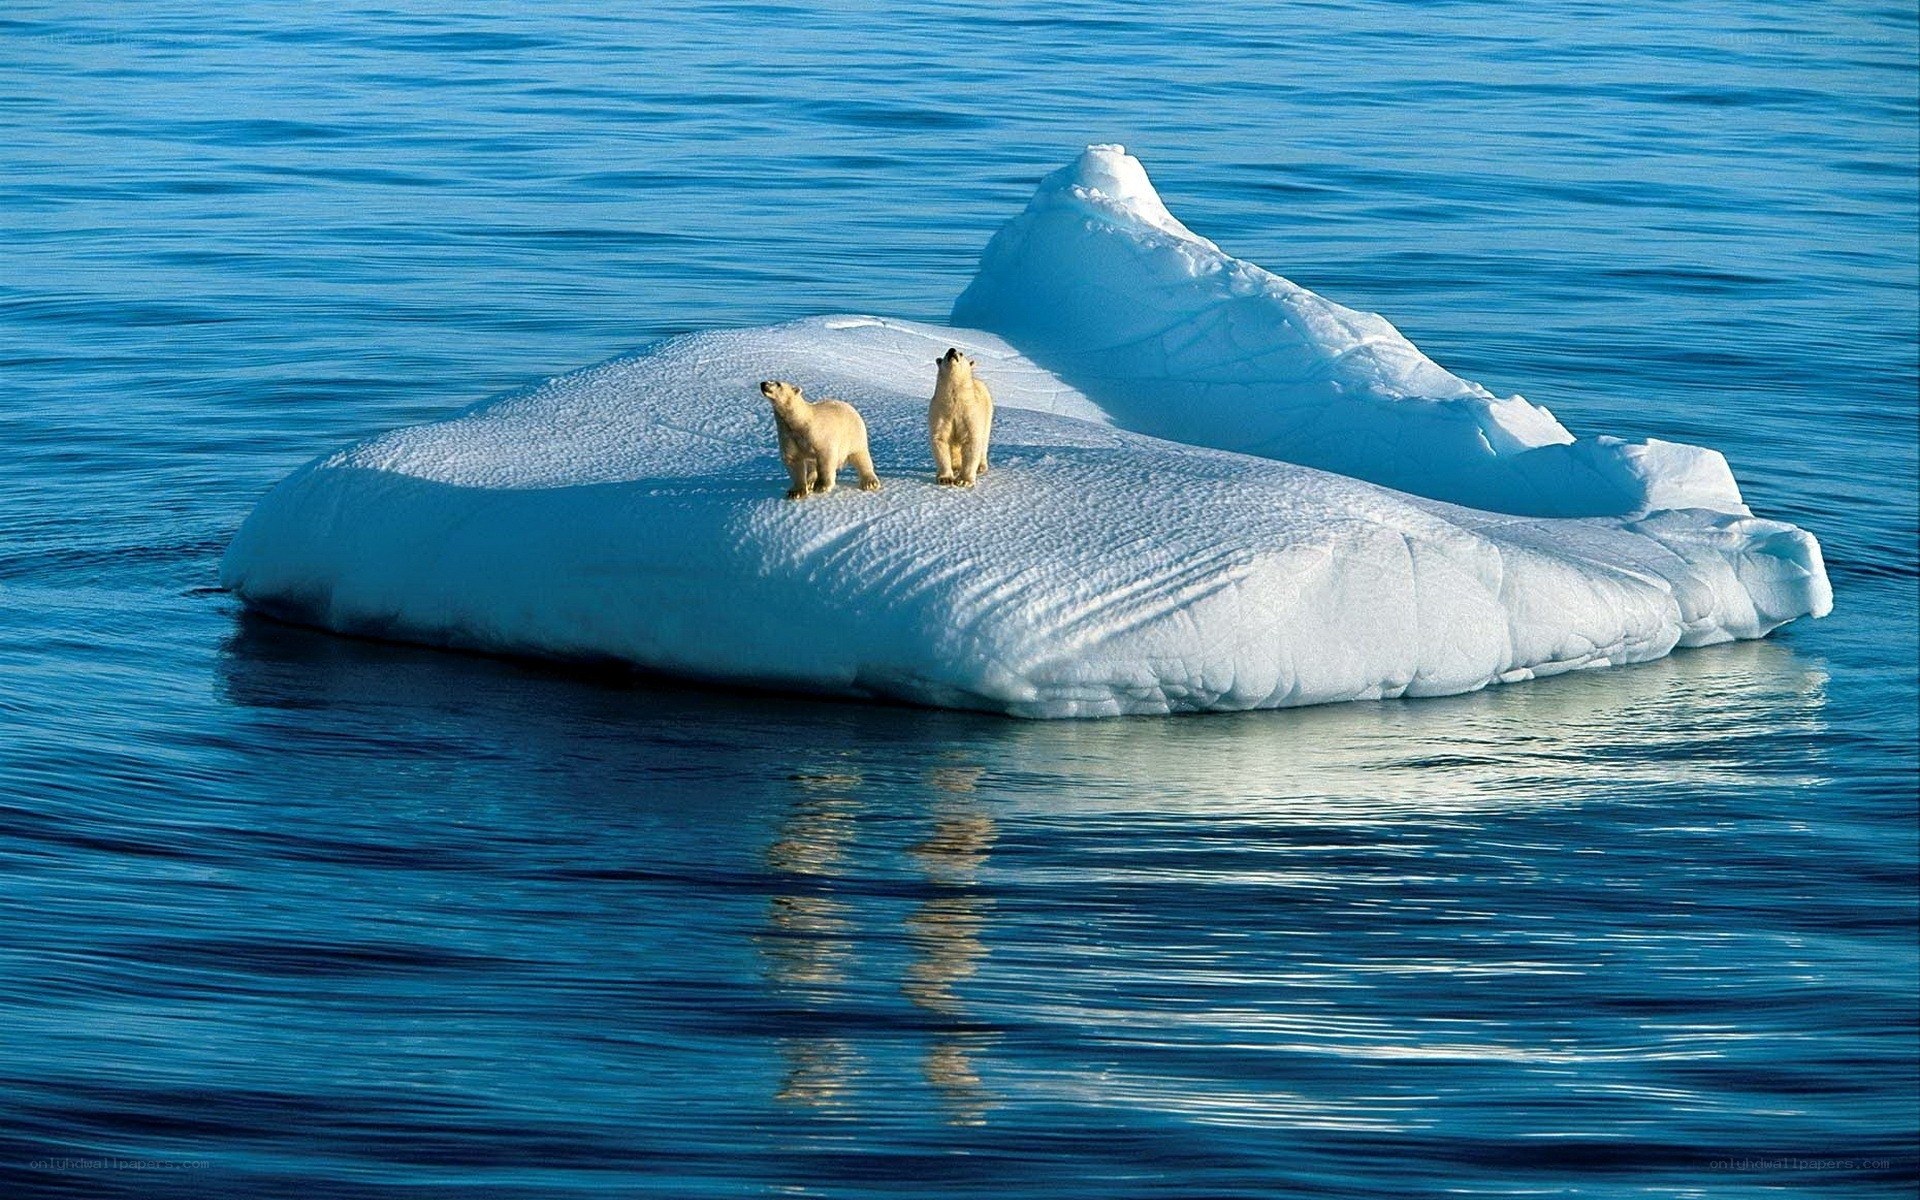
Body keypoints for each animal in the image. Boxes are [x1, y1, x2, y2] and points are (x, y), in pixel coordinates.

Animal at [929, 347, 993, 487]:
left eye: (961, 353)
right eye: (946, 353)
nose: (952, 350)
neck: (955, 403)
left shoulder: (969, 413)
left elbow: (971, 441)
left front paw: (964, 481)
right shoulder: (940, 412)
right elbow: (941, 439)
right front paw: (945, 478)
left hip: (988, 414)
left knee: (984, 440)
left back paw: (981, 467)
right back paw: (956, 467)